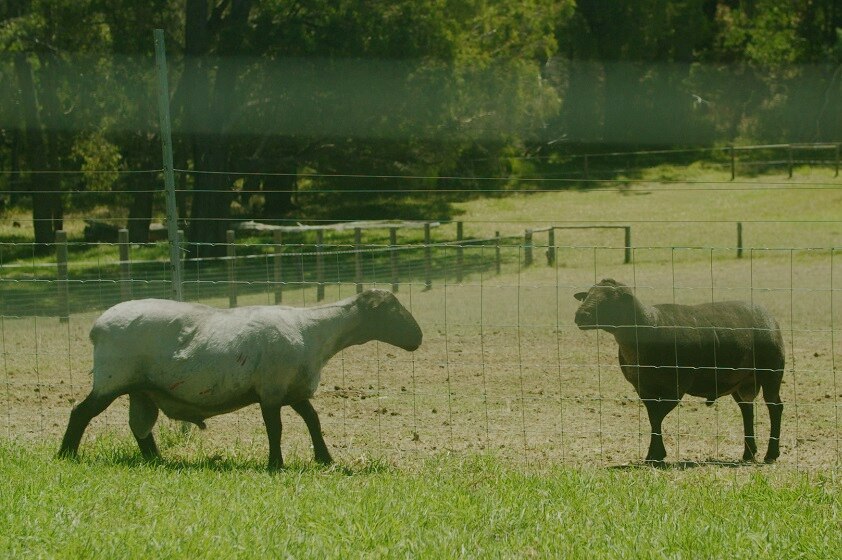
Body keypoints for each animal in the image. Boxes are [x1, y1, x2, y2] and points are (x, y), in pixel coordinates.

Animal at [60, 288, 424, 468]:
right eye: (394, 311)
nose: (418, 339)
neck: (316, 330)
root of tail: (97, 326)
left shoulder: (291, 389)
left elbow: (313, 421)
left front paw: (325, 459)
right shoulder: (272, 388)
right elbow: (276, 428)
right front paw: (276, 464)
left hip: (142, 389)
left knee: (140, 427)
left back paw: (156, 461)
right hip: (112, 378)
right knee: (80, 413)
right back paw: (66, 455)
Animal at [572, 278, 780, 464]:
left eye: (609, 299)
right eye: (587, 295)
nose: (580, 316)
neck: (648, 329)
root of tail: (768, 316)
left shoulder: (677, 386)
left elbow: (657, 416)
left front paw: (655, 455)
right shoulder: (643, 387)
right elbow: (653, 418)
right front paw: (653, 455)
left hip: (771, 371)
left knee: (775, 407)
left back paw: (771, 454)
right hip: (742, 380)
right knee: (747, 409)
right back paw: (749, 454)